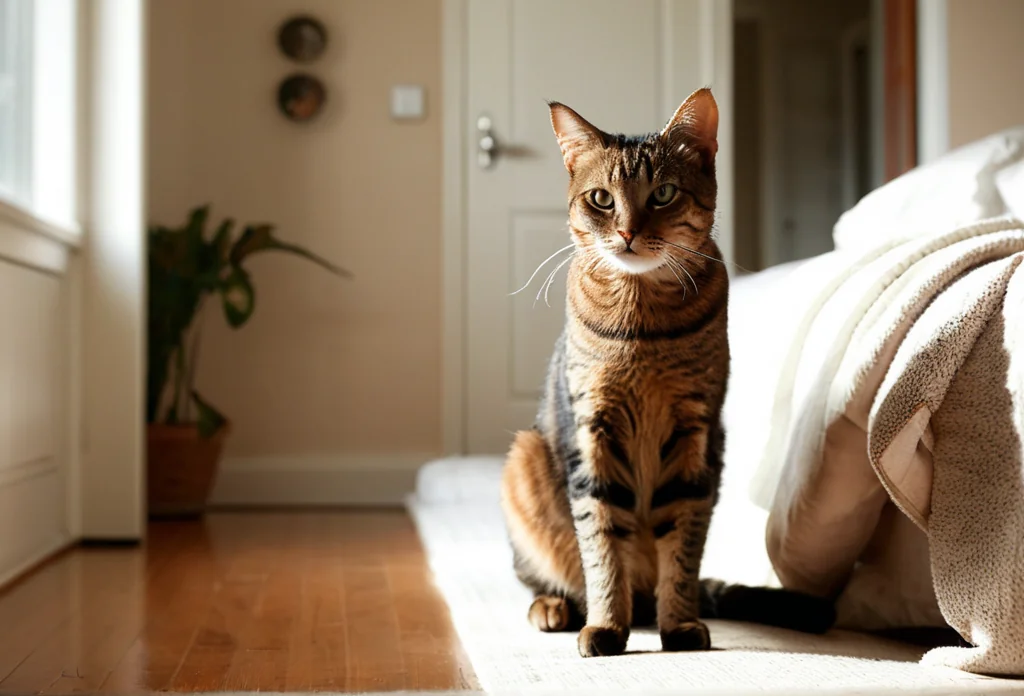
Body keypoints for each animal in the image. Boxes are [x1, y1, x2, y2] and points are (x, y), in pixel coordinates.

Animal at [499, 88, 835, 659]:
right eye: (601, 199)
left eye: (663, 194)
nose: (628, 231)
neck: (642, 329)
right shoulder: (593, 427)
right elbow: (601, 543)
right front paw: (606, 625)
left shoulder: (695, 431)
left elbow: (681, 547)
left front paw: (679, 626)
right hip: (523, 460)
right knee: (545, 577)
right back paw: (556, 607)